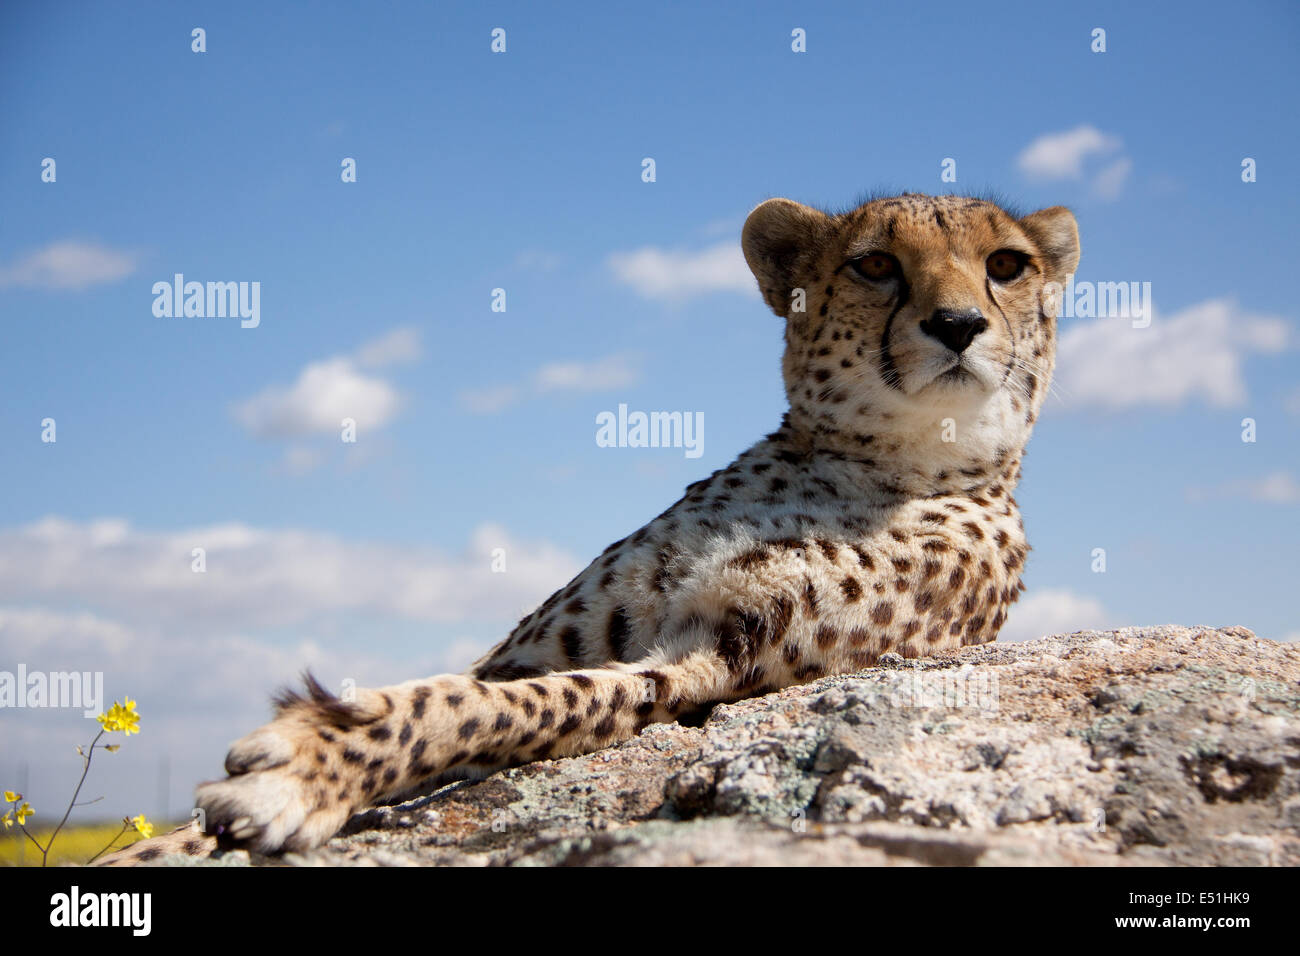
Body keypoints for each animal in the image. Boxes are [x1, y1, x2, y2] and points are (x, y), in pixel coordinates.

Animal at [101, 191, 1079, 865]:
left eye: (1006, 264)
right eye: (876, 266)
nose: (958, 323)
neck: (865, 461)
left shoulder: (715, 662)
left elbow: (514, 706)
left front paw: (310, 769)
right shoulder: (536, 646)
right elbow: (456, 692)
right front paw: (168, 842)